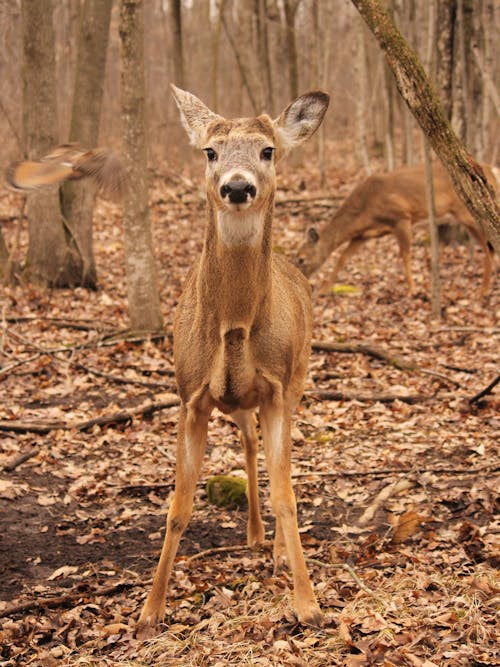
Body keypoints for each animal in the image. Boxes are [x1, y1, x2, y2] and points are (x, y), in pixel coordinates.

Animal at [135, 86, 330, 636]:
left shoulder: (277, 389)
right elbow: (177, 508)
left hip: (297, 379)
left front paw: (308, 604)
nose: (237, 187)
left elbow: (287, 493)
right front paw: (149, 612)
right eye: (209, 151)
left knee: (273, 459)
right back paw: (252, 534)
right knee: (247, 446)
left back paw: (276, 551)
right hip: (240, 403)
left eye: (268, 150)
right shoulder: (190, 397)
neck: (234, 327)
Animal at [296, 160, 496, 296]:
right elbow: (343, 258)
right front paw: (325, 289)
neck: (366, 207)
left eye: (301, 259)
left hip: (467, 213)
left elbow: (405, 254)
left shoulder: (402, 218)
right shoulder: (365, 234)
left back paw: (484, 290)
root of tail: (492, 170)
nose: (302, 279)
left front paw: (412, 290)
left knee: (489, 245)